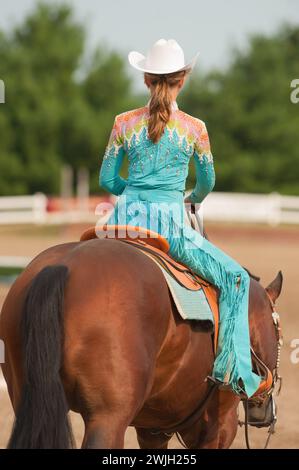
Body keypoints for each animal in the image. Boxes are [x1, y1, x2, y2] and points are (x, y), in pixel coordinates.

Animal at [0, 237, 284, 450]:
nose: (264, 412)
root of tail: (62, 266)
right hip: (108, 418)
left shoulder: (153, 429)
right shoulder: (218, 427)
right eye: (278, 333)